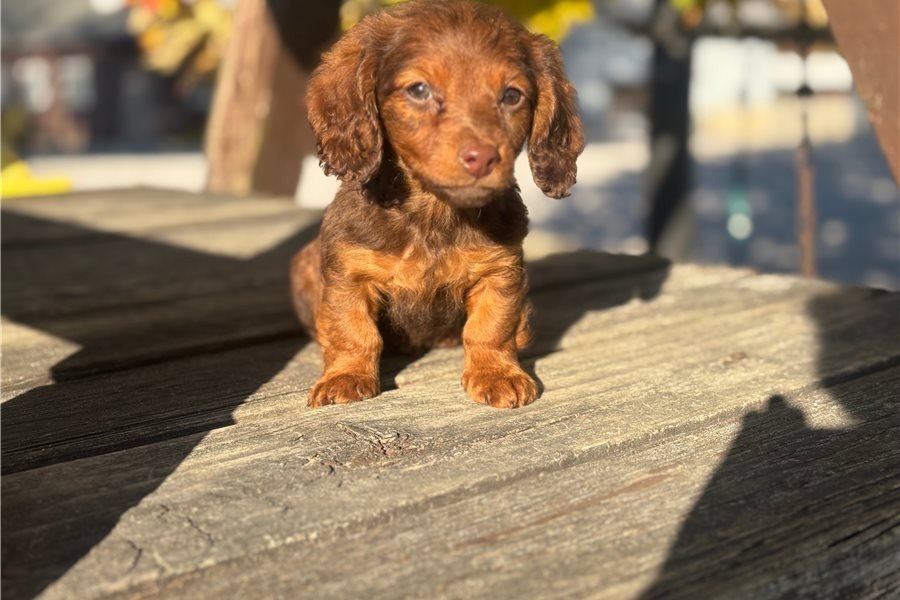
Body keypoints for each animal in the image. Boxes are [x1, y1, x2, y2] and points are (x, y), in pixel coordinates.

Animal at [291, 0, 584, 408]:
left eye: (512, 96)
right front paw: (345, 376)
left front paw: (497, 374)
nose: (482, 158)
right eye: (419, 90)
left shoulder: (500, 271)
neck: (434, 213)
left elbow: (491, 327)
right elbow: (352, 329)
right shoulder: (349, 272)